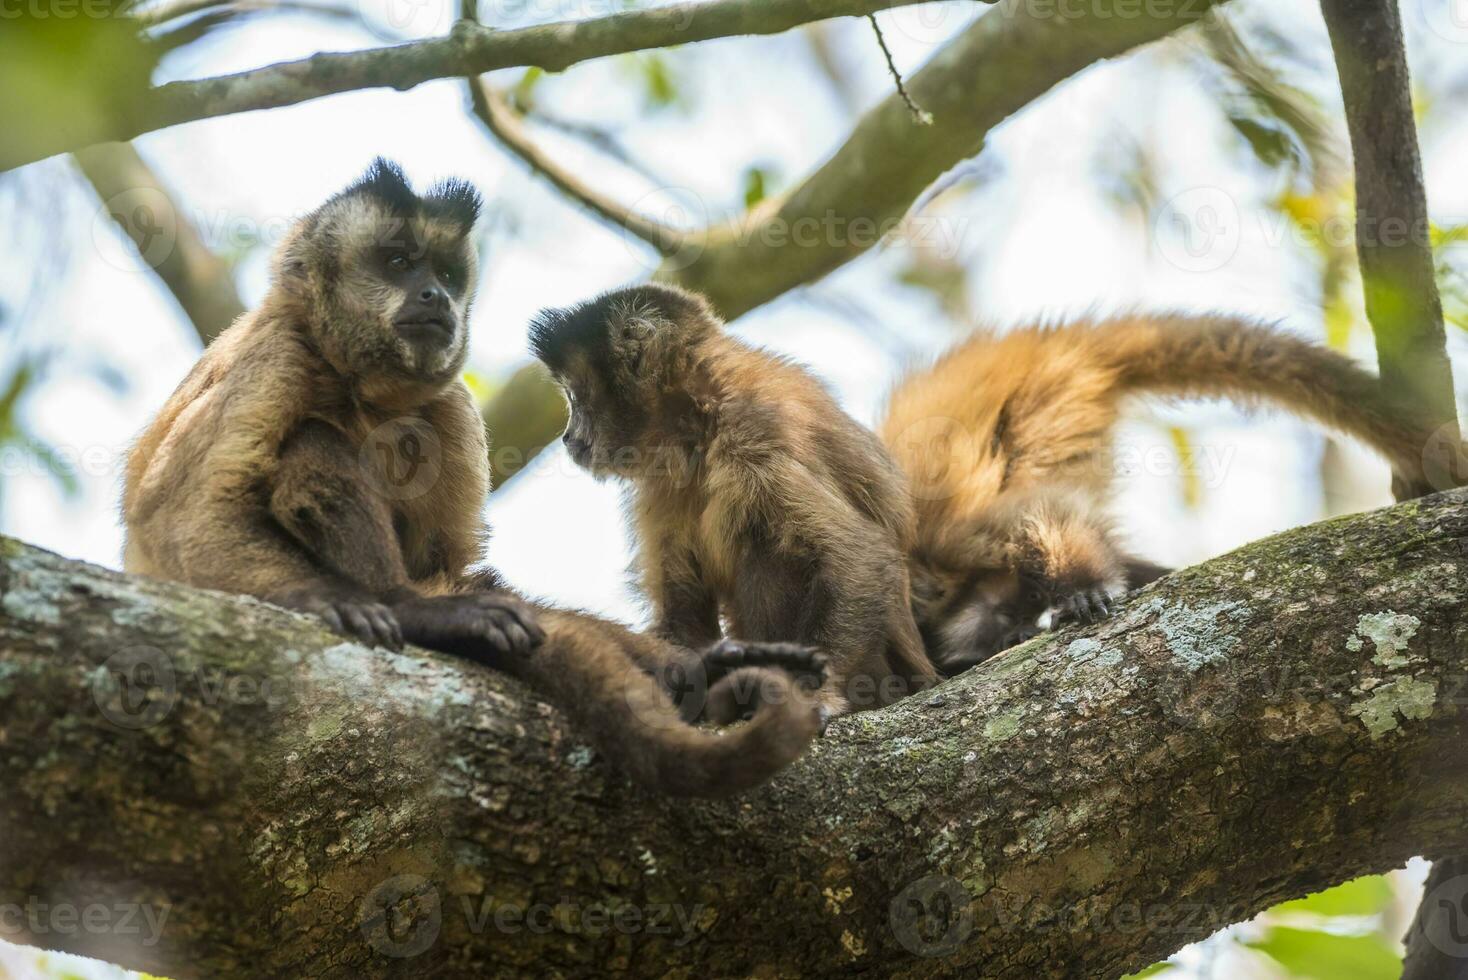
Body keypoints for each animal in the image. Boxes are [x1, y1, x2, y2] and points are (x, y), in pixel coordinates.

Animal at [117, 159, 827, 798]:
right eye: (399, 261)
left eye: (447, 275)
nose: (435, 295)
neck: (360, 389)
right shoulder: (277, 355)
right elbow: (178, 516)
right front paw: (333, 602)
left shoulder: (451, 403)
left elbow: (454, 563)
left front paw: (693, 665)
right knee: (311, 442)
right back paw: (408, 608)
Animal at [531, 278, 939, 715]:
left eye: (575, 398)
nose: (567, 436)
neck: (703, 417)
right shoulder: (662, 481)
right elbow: (684, 619)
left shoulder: (758, 432)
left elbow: (859, 555)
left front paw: (814, 692)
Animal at [880, 313, 1456, 674]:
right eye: (1003, 623)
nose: (1014, 631)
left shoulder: (946, 546)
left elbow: (1039, 515)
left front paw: (1082, 591)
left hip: (1048, 401)